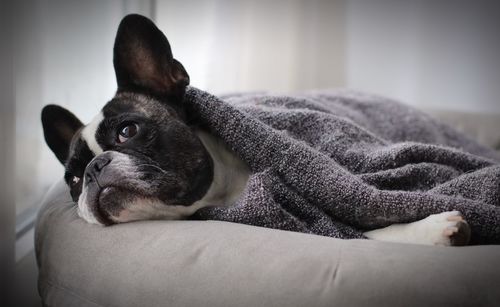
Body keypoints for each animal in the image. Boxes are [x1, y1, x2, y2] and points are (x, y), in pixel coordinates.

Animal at [42, 14, 468, 247]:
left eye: (128, 131)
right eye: (73, 180)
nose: (94, 170)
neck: (226, 189)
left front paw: (428, 228)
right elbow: (348, 233)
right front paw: (429, 230)